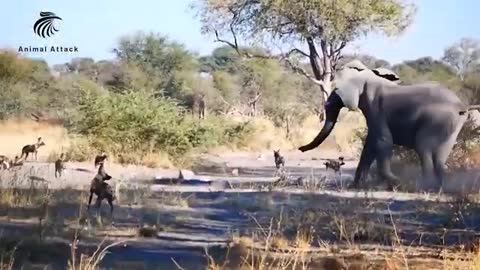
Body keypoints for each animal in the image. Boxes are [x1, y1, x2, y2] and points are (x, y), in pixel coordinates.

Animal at [298, 60, 478, 192]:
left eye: (336, 89)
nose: (300, 149)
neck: (368, 76)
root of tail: (461, 106)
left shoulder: (375, 106)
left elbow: (383, 142)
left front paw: (397, 183)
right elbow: (369, 146)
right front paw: (356, 186)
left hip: (437, 120)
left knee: (423, 147)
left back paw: (423, 187)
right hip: (451, 126)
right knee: (440, 154)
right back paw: (439, 187)